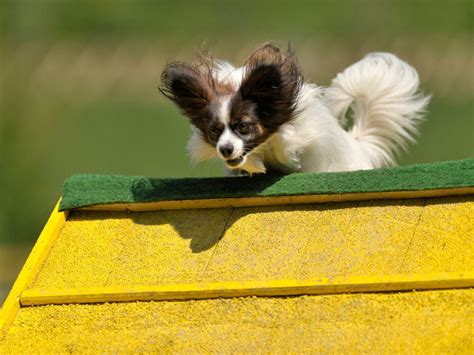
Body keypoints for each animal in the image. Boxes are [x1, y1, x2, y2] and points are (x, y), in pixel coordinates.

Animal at [159, 43, 430, 175]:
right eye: (215, 131)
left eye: (243, 126)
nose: (225, 149)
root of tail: (359, 146)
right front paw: (251, 166)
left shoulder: (303, 130)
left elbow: (287, 140)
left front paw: (283, 154)